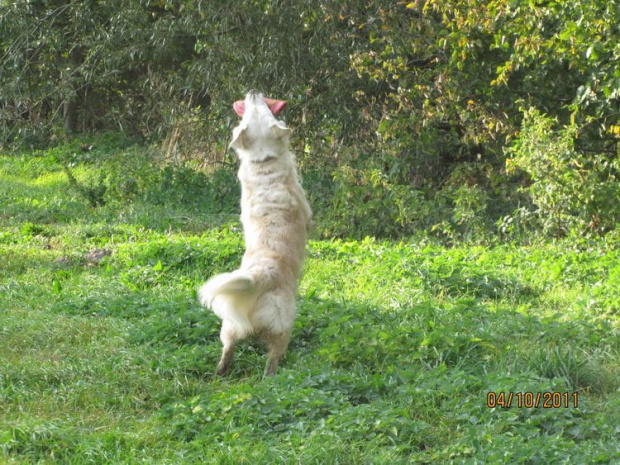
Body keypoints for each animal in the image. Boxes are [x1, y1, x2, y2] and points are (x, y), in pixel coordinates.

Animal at [199, 90, 312, 376]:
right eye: (259, 107)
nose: (253, 92)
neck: (263, 161)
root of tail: (261, 275)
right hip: (284, 325)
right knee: (273, 357)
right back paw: (271, 377)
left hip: (229, 325)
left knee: (227, 350)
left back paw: (220, 372)